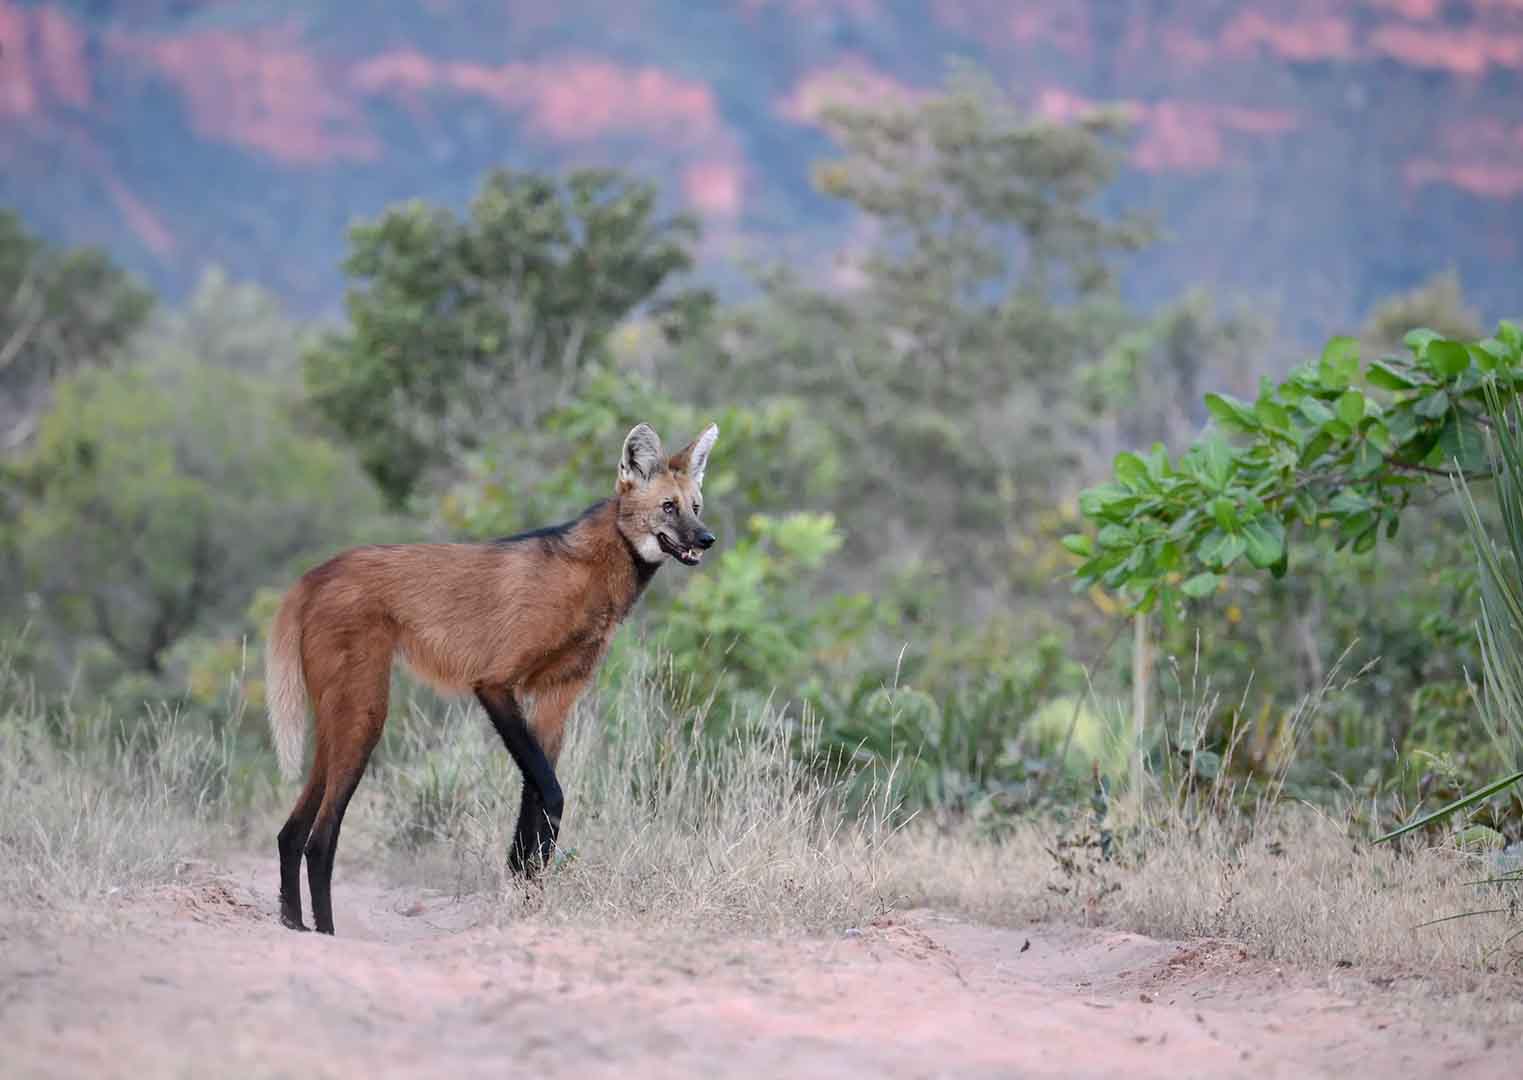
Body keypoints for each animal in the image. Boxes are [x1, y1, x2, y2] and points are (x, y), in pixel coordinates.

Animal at [265, 420, 715, 926]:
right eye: (668, 507)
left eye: (696, 506)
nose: (707, 539)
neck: (593, 574)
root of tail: (315, 574)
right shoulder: (495, 683)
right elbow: (550, 795)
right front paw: (524, 888)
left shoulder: (554, 699)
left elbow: (534, 806)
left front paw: (526, 891)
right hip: (365, 714)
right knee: (320, 840)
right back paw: (324, 934)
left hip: (339, 716)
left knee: (290, 833)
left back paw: (294, 924)